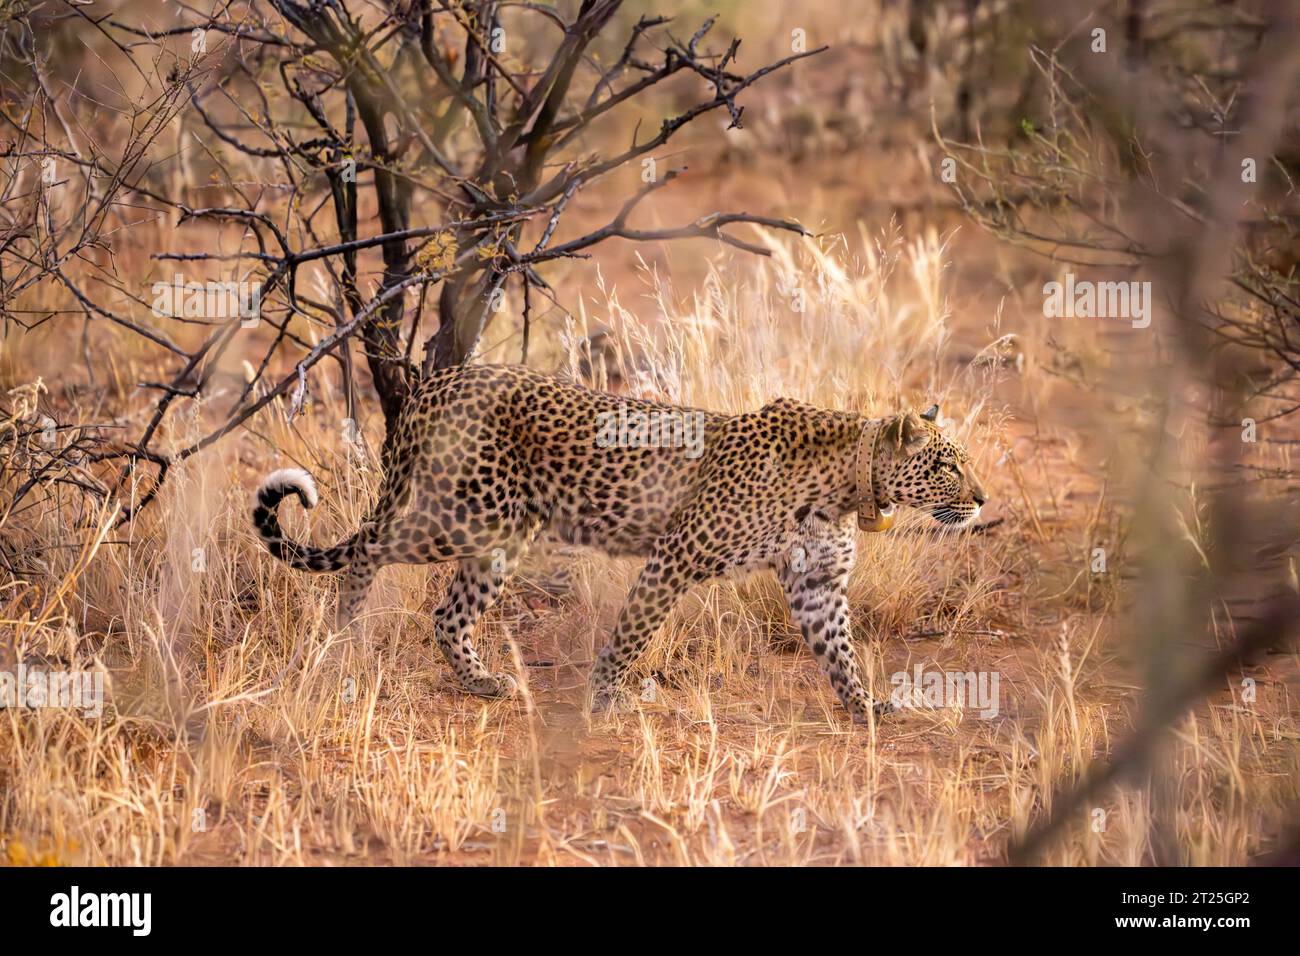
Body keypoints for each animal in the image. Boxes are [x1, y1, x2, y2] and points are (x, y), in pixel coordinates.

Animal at [250, 361, 982, 723]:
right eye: (947, 464)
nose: (980, 498)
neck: (849, 485)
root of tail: (441, 378)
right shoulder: (676, 557)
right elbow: (631, 634)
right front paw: (605, 700)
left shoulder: (817, 583)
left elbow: (839, 650)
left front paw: (864, 706)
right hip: (462, 513)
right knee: (366, 550)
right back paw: (343, 637)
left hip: (503, 534)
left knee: (447, 612)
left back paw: (483, 683)